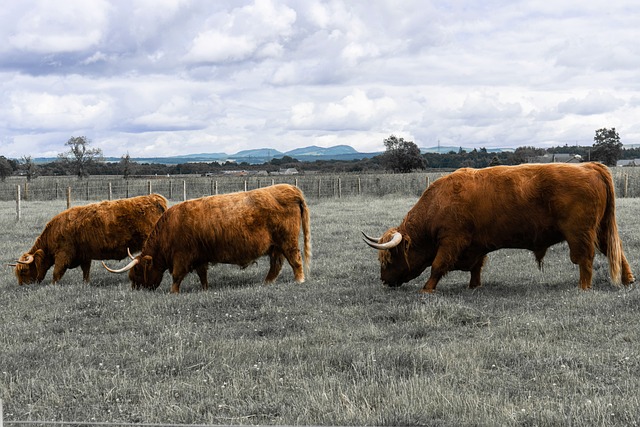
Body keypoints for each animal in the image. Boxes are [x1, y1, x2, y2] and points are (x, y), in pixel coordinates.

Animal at [13, 196, 168, 286]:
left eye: (24, 271)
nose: (22, 286)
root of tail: (155, 198)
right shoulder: (84, 255)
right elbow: (86, 271)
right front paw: (86, 284)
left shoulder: (63, 254)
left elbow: (57, 272)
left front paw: (53, 285)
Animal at [103, 184, 312, 294]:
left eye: (137, 271)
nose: (135, 288)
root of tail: (290, 188)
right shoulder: (199, 257)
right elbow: (202, 274)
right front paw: (204, 289)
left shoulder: (181, 256)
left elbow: (177, 276)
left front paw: (172, 292)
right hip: (276, 246)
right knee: (276, 265)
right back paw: (266, 283)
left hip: (287, 242)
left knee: (295, 260)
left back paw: (299, 280)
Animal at [364, 162, 636, 292]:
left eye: (389, 258)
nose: (384, 281)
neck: (438, 202)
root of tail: (590, 166)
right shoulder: (476, 245)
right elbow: (476, 267)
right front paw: (474, 286)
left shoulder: (452, 241)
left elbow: (438, 266)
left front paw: (427, 289)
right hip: (601, 230)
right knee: (615, 251)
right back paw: (628, 279)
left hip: (579, 233)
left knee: (585, 259)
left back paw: (584, 287)